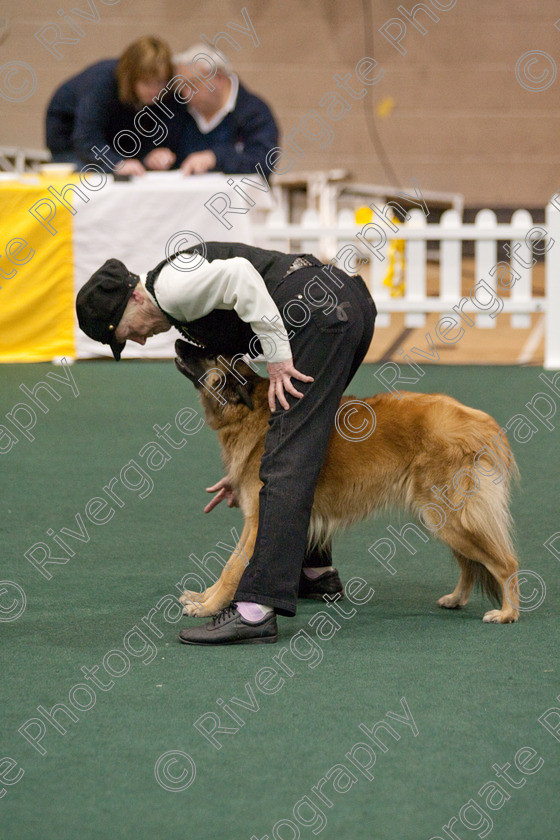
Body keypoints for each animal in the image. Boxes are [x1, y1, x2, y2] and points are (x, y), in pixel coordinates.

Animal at [174, 340, 520, 624]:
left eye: (208, 353)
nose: (177, 341)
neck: (251, 411)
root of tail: (484, 424)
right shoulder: (253, 521)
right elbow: (229, 565)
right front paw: (204, 598)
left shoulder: (261, 519)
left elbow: (232, 568)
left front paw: (208, 607)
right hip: (444, 518)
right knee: (471, 564)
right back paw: (457, 599)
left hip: (448, 517)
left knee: (506, 563)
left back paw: (507, 613)